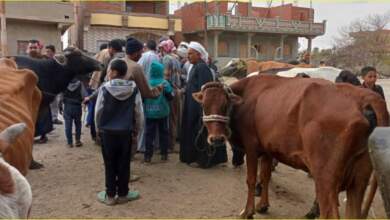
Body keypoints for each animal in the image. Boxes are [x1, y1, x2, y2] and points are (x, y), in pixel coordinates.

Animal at [193, 76, 388, 218]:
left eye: (224, 105)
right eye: (204, 106)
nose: (216, 139)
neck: (246, 97)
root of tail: (363, 96)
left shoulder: (251, 147)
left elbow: (251, 180)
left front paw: (248, 211)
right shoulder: (268, 149)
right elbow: (265, 176)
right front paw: (263, 206)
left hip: (326, 178)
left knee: (330, 212)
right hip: (359, 180)